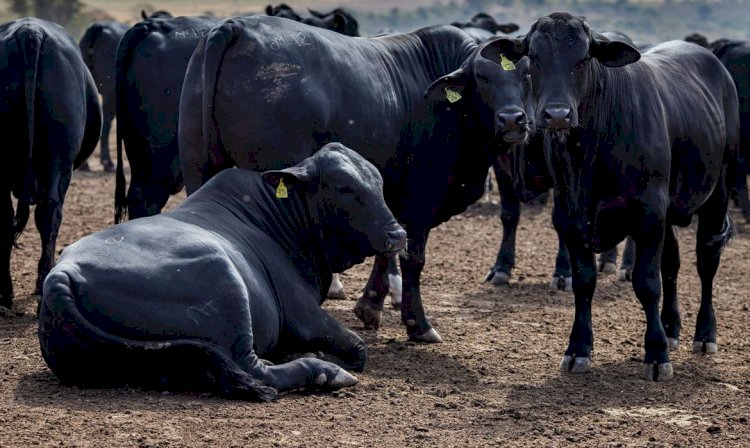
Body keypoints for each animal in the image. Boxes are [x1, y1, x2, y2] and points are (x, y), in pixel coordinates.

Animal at [39, 144, 408, 400]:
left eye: (378, 182)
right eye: (344, 187)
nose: (398, 234)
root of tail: (61, 276)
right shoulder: (304, 314)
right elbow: (358, 349)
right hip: (225, 280)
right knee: (254, 370)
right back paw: (323, 370)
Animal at [180, 15, 536, 342]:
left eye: (526, 75)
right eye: (482, 77)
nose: (512, 120)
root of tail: (237, 27)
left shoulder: (388, 198)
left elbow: (388, 243)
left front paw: (371, 305)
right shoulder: (421, 199)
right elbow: (412, 257)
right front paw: (418, 324)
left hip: (198, 172)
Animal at [500, 12, 740, 380]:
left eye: (584, 58)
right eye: (534, 59)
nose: (557, 115)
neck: (587, 157)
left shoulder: (649, 212)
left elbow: (647, 282)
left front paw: (656, 355)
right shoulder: (567, 216)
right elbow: (584, 282)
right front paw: (578, 349)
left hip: (718, 192)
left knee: (706, 260)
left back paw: (704, 335)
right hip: (671, 211)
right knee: (672, 262)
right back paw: (672, 329)